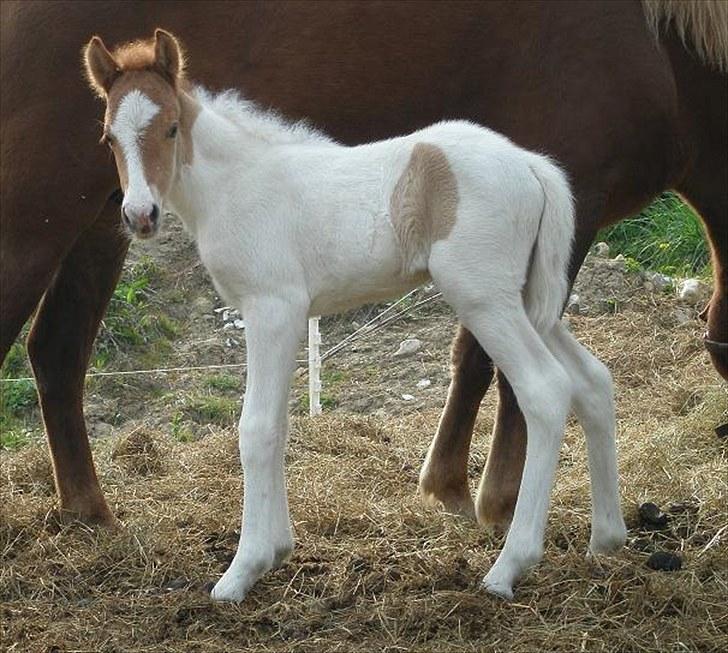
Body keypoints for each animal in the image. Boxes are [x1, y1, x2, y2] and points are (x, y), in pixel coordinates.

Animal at [85, 29, 628, 600]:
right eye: (109, 139)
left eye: (170, 128)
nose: (140, 216)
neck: (237, 185)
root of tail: (530, 164)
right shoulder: (287, 317)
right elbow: (279, 425)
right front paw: (278, 550)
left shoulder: (272, 309)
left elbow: (256, 427)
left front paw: (242, 570)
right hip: (530, 302)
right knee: (593, 380)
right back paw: (606, 538)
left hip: (485, 299)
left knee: (545, 389)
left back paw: (508, 567)